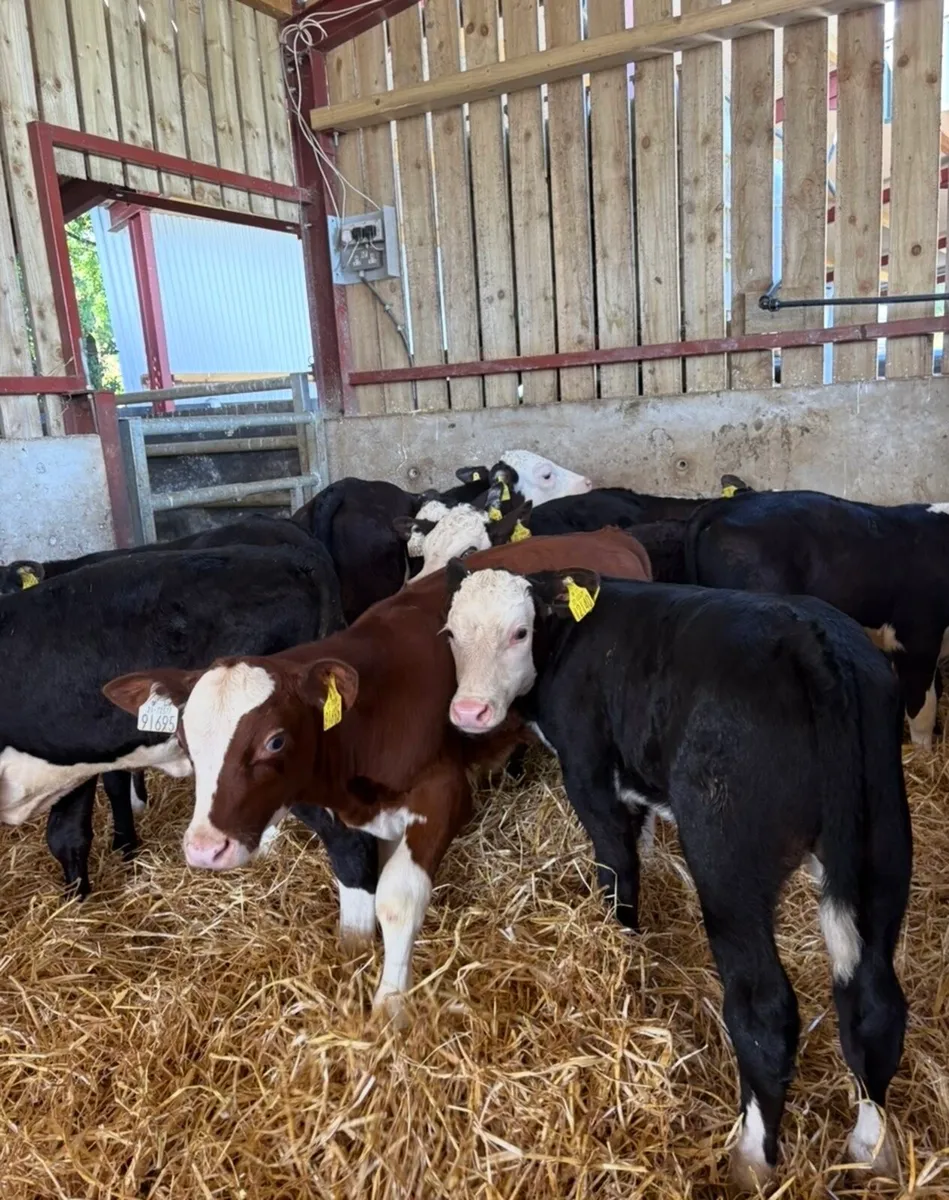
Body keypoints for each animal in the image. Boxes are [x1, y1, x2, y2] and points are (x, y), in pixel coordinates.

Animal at [103, 530, 652, 1021]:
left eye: (275, 741)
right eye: (185, 737)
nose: (204, 848)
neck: (366, 719)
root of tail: (608, 534)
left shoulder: (443, 795)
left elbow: (397, 899)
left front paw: (391, 1006)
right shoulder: (334, 818)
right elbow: (355, 899)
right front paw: (352, 962)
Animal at [442, 563, 911, 1187]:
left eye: (519, 632)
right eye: (450, 633)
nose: (468, 711)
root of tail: (812, 641)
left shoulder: (589, 771)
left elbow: (618, 863)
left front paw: (620, 943)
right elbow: (639, 838)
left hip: (727, 861)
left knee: (764, 1012)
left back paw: (752, 1159)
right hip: (880, 848)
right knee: (874, 1005)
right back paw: (871, 1150)